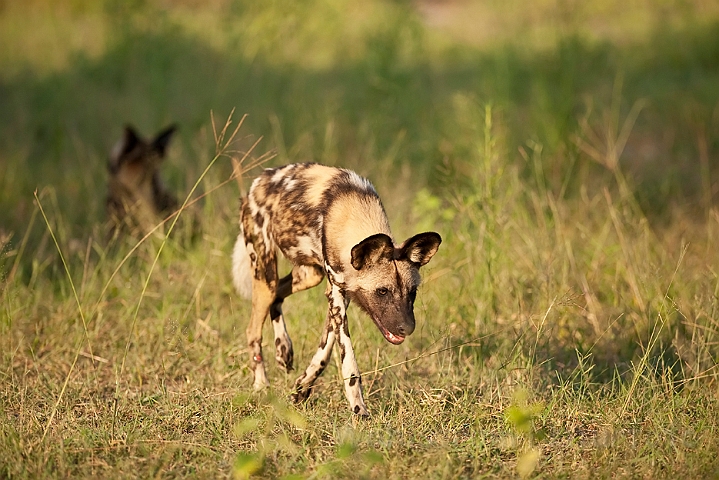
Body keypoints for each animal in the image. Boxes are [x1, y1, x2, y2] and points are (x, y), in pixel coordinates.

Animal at [233, 163, 442, 414]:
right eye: (382, 291)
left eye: (412, 293)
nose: (407, 328)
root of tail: (259, 181)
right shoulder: (336, 295)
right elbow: (349, 362)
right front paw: (359, 409)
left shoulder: (341, 294)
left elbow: (324, 352)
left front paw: (301, 388)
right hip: (266, 276)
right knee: (253, 329)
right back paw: (261, 385)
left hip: (308, 275)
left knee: (278, 296)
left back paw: (283, 350)